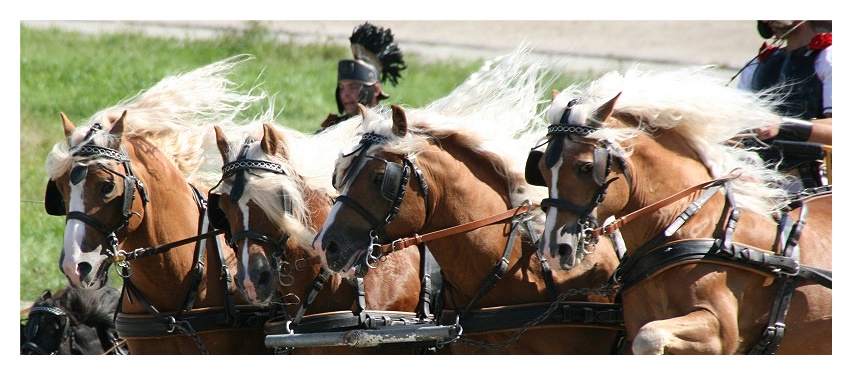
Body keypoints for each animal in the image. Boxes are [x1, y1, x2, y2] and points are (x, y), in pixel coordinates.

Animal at [532, 65, 832, 356]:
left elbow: (649, 338)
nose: (554, 249)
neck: (684, 227)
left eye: (585, 167)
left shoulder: (720, 335)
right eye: (542, 169)